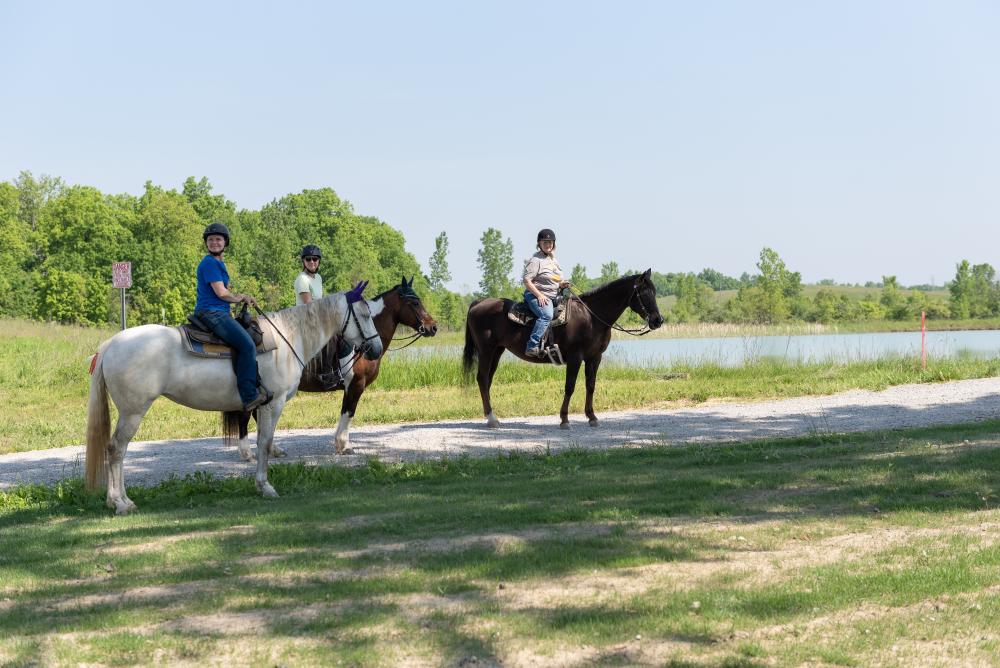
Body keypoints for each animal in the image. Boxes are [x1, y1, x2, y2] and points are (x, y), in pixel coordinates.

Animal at [85, 290, 382, 516]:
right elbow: (265, 443)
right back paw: (120, 503)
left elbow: (263, 442)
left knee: (117, 450)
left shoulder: (262, 406)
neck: (287, 339)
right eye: (365, 315)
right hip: (132, 411)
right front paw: (265, 487)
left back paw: (120, 500)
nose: (377, 349)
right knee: (116, 449)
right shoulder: (273, 404)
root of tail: (110, 345)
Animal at [236, 276, 440, 460]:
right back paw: (248, 453)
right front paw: (344, 445)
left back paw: (271, 449)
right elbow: (349, 412)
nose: (433, 327)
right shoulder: (356, 384)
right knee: (247, 415)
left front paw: (341, 444)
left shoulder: (351, 386)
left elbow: (345, 412)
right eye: (415, 303)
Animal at [462, 270, 664, 428]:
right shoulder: (575, 357)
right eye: (644, 293)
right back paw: (492, 419)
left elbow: (591, 385)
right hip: (486, 350)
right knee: (482, 379)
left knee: (487, 380)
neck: (591, 317)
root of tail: (478, 303)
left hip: (497, 351)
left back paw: (490, 417)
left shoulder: (594, 357)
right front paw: (564, 419)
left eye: (654, 292)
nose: (658, 320)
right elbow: (570, 386)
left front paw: (592, 417)